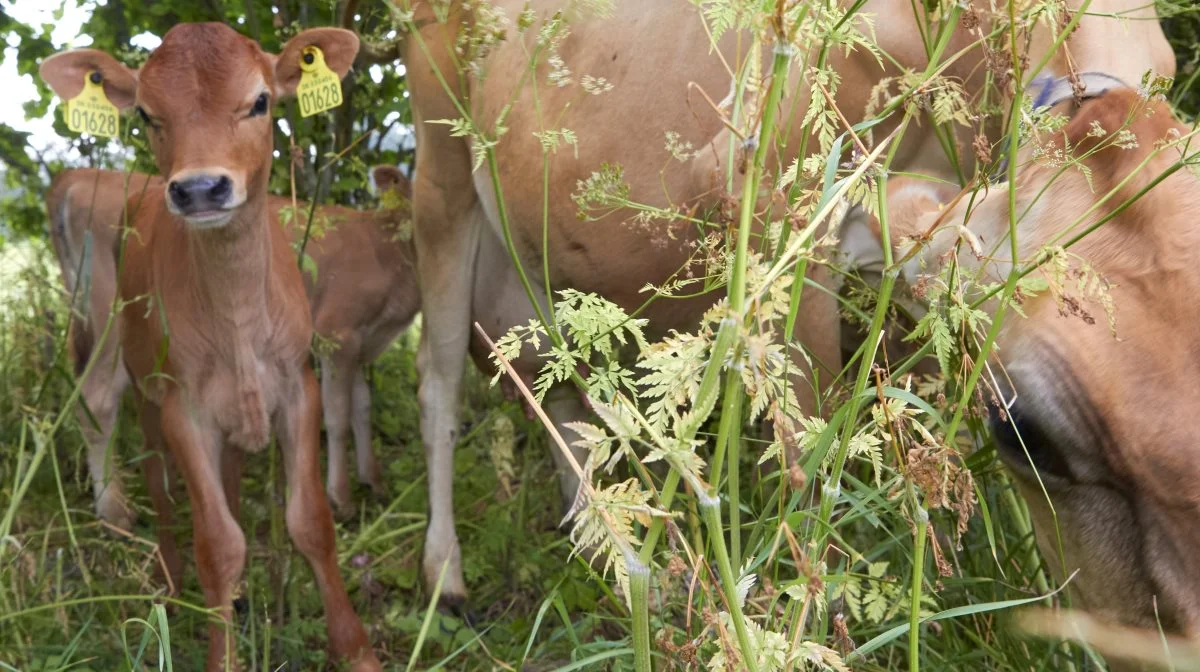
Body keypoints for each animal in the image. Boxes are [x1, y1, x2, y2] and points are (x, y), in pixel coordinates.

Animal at [41, 23, 379, 667]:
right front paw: (222, 650)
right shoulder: (185, 409)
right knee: (152, 475)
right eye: (146, 113)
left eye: (260, 101)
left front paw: (356, 651)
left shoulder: (298, 388)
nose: (199, 188)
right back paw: (169, 582)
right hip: (134, 372)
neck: (238, 317)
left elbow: (311, 523)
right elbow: (219, 545)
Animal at [398, 0, 1176, 604]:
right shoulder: (778, 199)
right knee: (439, 381)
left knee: (560, 383)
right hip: (441, 170)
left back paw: (606, 549)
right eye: (1026, 431)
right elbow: (811, 441)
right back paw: (447, 574)